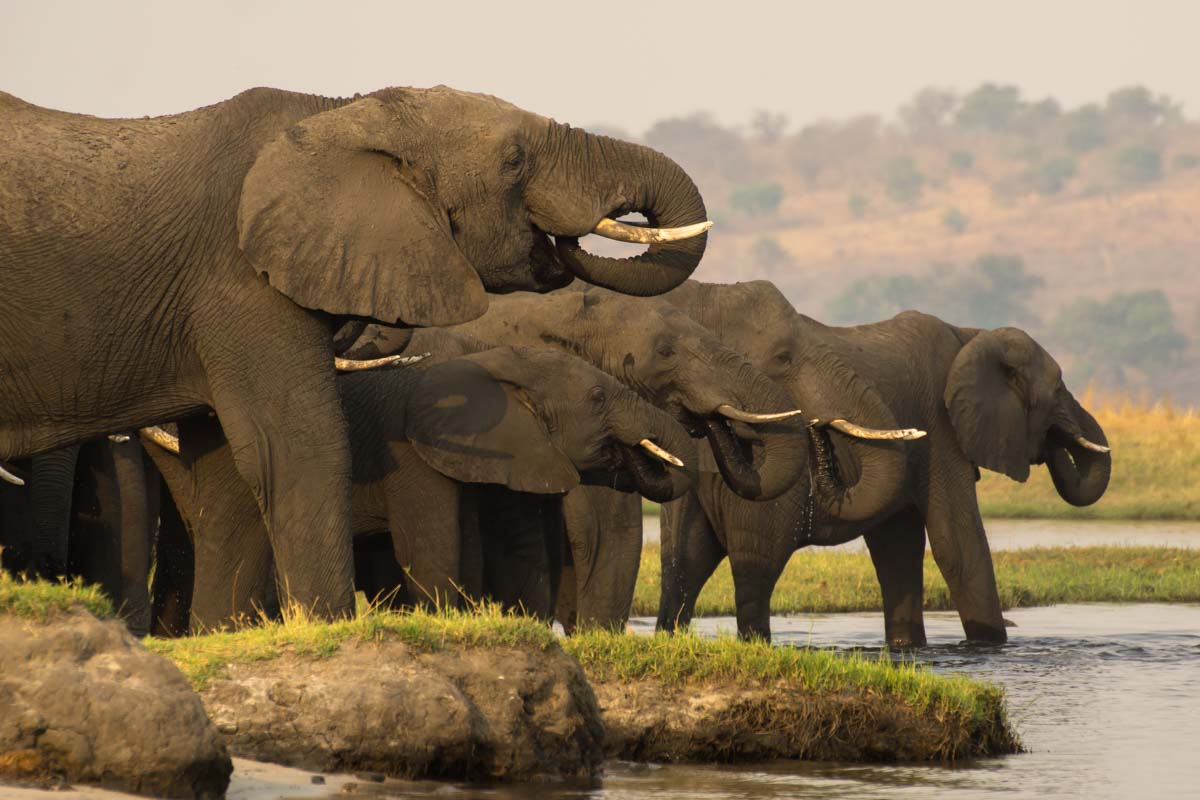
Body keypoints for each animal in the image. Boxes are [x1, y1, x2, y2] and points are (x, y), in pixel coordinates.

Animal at [652, 281, 1108, 642]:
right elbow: (957, 543)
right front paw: (989, 646)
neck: (970, 335)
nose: (818, 428)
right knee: (756, 574)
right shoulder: (940, 429)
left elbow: (898, 548)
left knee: (684, 570)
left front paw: (906, 649)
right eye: (1058, 389)